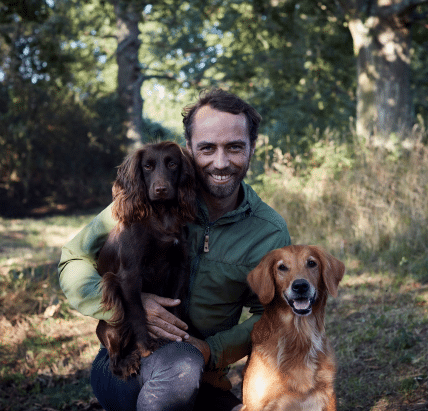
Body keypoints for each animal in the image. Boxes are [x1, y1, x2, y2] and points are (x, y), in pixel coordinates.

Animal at [241, 246, 344, 410]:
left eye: (311, 263)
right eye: (282, 267)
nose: (300, 285)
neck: (299, 334)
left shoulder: (328, 395)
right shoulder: (256, 404)